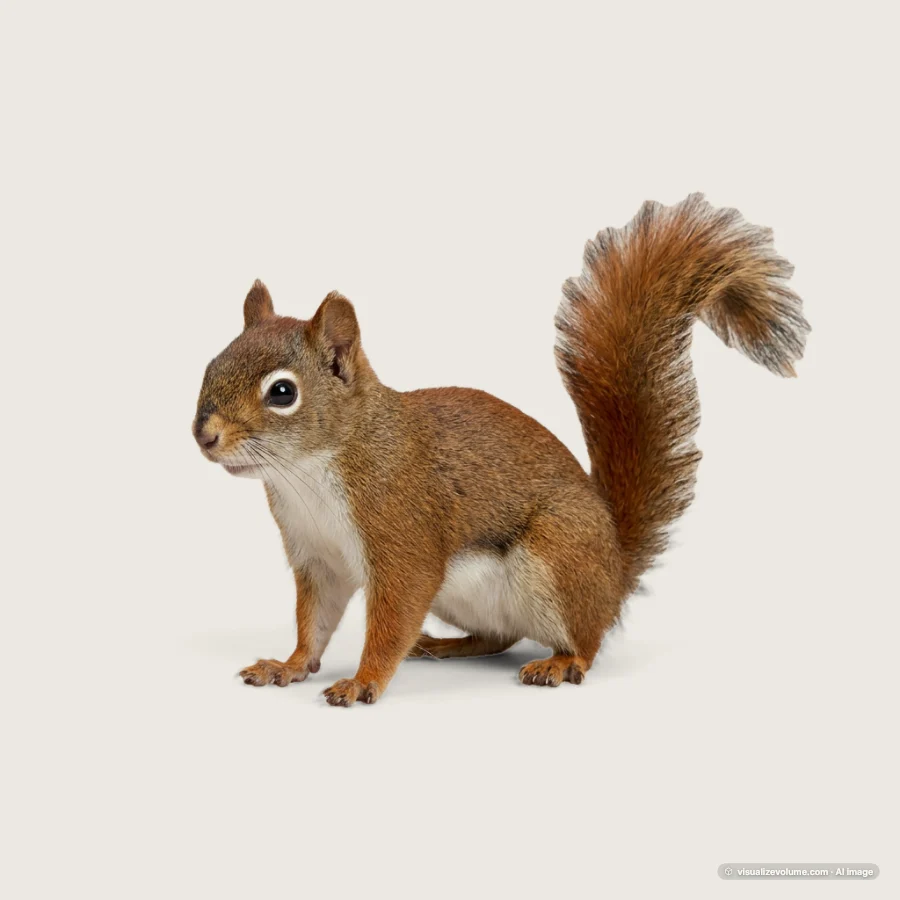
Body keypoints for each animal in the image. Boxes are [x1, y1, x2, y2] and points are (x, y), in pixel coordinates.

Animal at [193, 193, 809, 706]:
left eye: (282, 392)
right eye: (212, 364)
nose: (204, 435)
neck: (311, 472)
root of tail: (614, 569)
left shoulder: (403, 538)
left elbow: (391, 619)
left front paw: (363, 681)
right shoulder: (317, 557)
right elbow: (314, 622)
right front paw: (289, 665)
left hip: (556, 561)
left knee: (585, 640)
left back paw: (559, 663)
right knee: (498, 636)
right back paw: (446, 646)